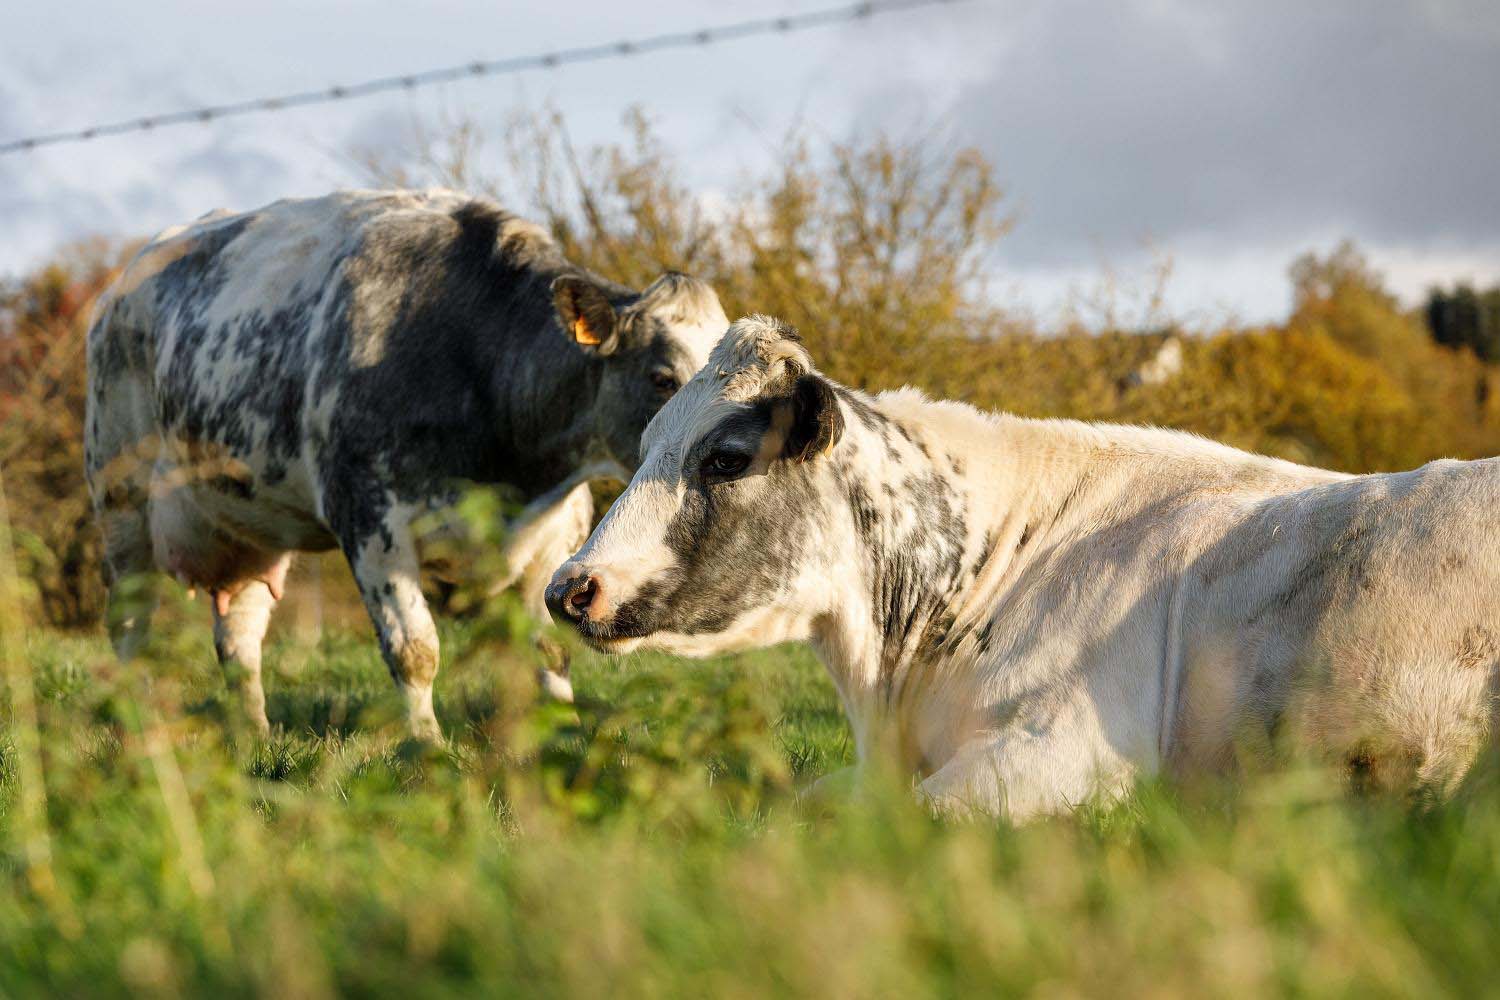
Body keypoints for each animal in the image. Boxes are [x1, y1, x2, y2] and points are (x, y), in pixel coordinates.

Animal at [84, 188, 726, 740]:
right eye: (661, 376)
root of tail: (121, 287)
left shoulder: (554, 535)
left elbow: (550, 648)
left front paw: (563, 741)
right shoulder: (370, 519)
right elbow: (414, 651)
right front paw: (429, 749)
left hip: (251, 525)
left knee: (239, 637)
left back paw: (255, 737)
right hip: (121, 499)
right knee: (129, 625)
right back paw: (138, 732)